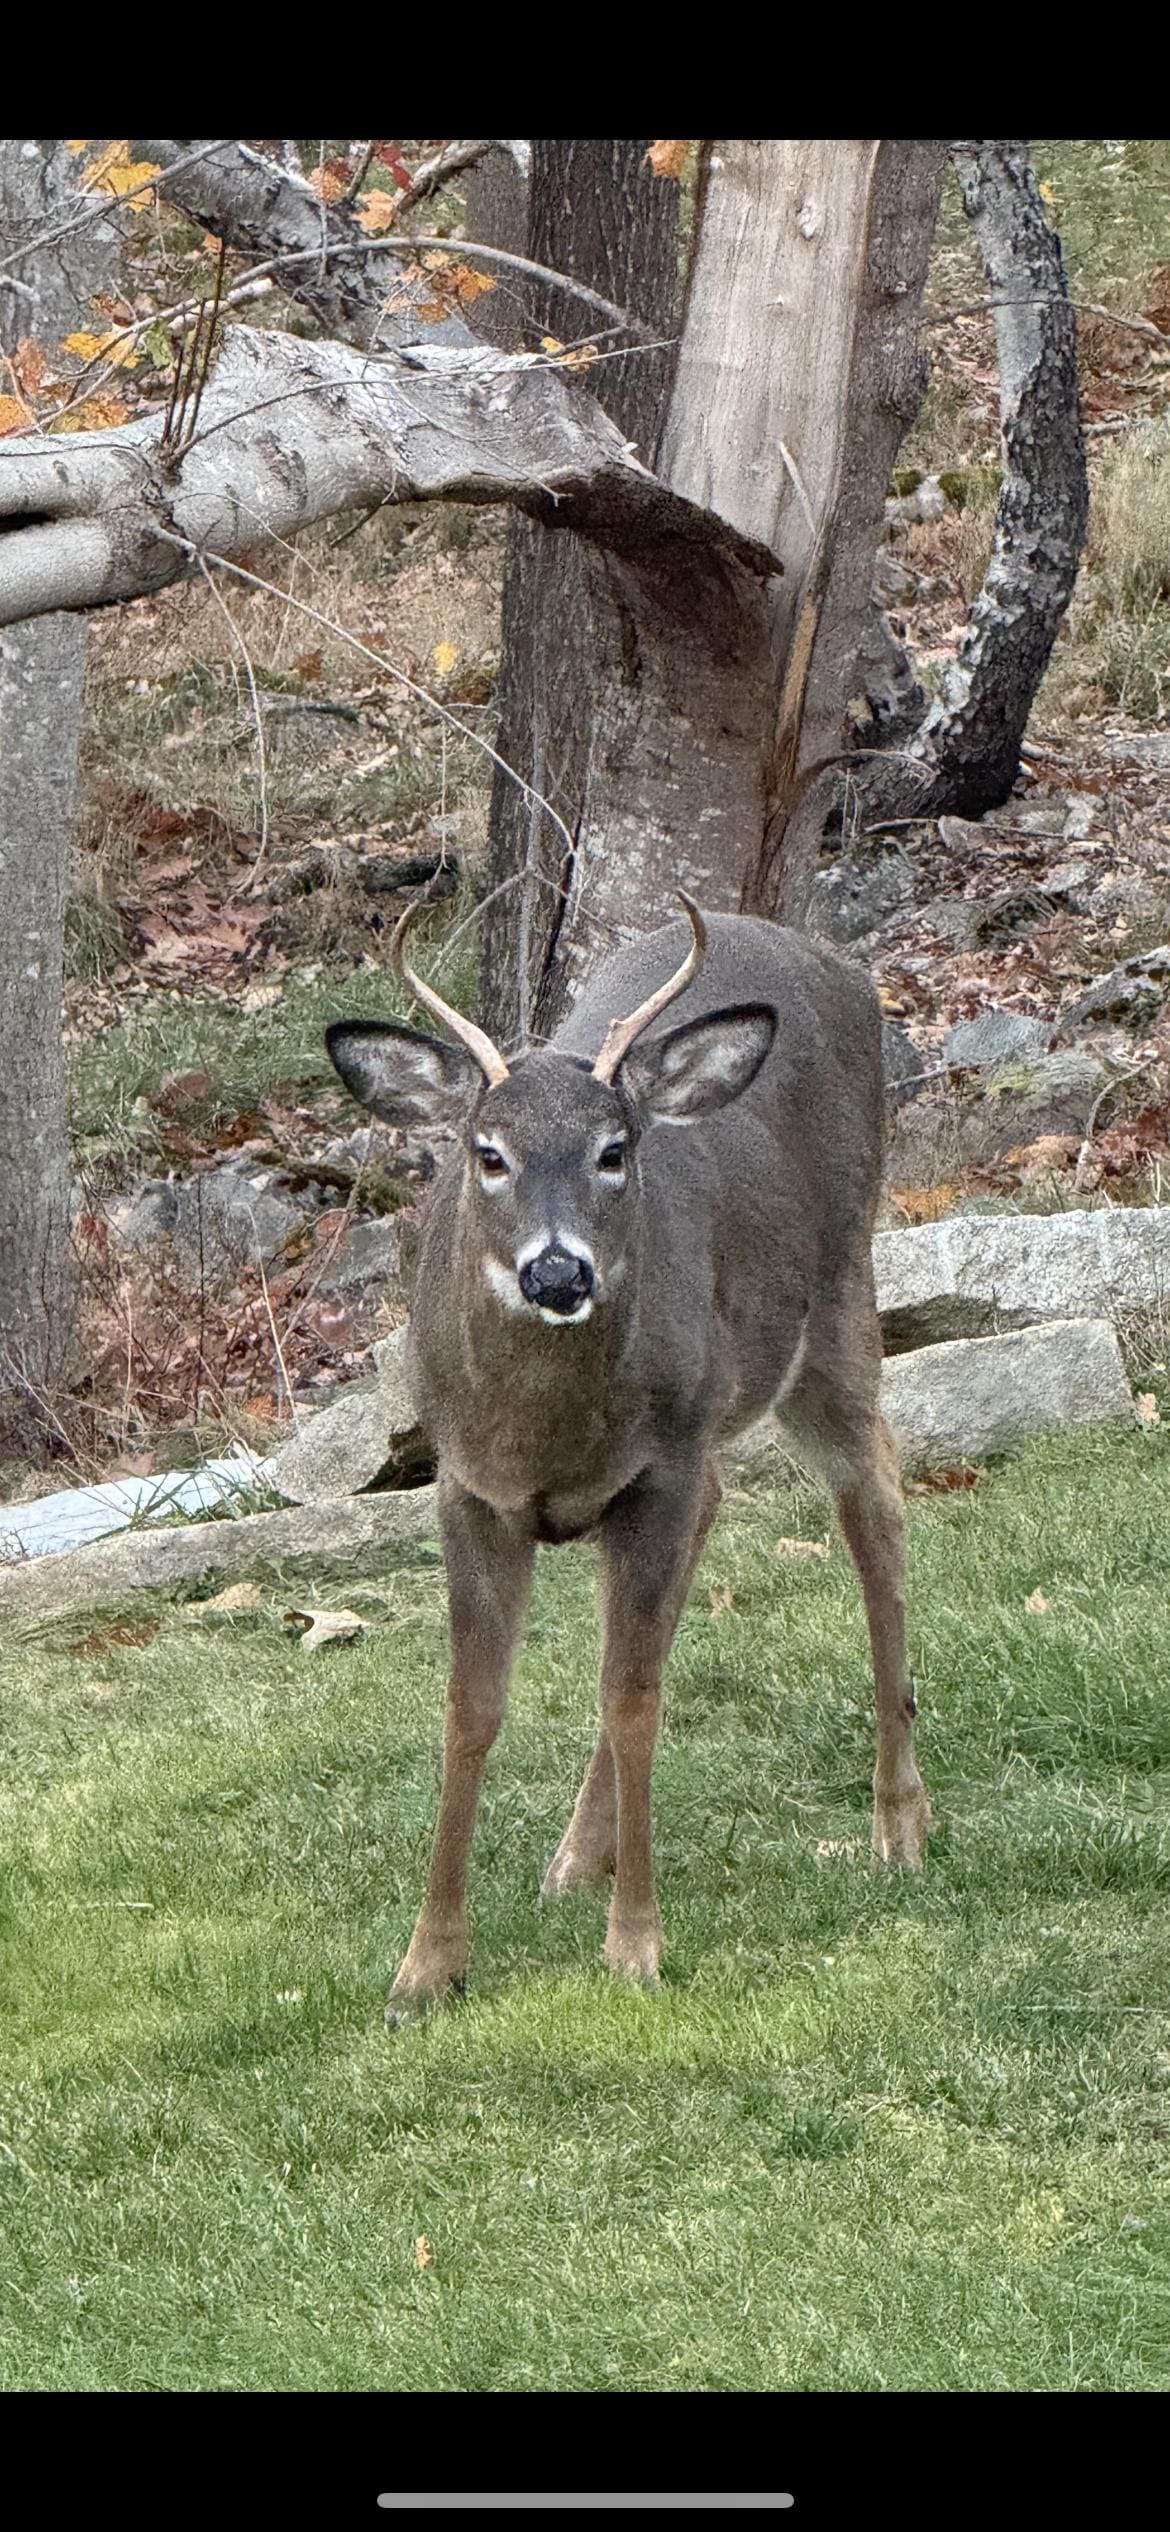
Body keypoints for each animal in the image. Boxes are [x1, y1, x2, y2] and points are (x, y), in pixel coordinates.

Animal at [325, 893, 930, 2019]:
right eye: (488, 1153)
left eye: (614, 1150)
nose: (557, 1271)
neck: (547, 1437)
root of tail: (832, 961)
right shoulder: (467, 1486)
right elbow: (471, 1711)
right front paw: (425, 1969)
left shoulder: (657, 1470)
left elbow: (636, 1699)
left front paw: (636, 1946)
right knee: (728, 1507)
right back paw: (575, 1855)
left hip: (836, 1296)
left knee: (876, 1496)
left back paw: (899, 1820)